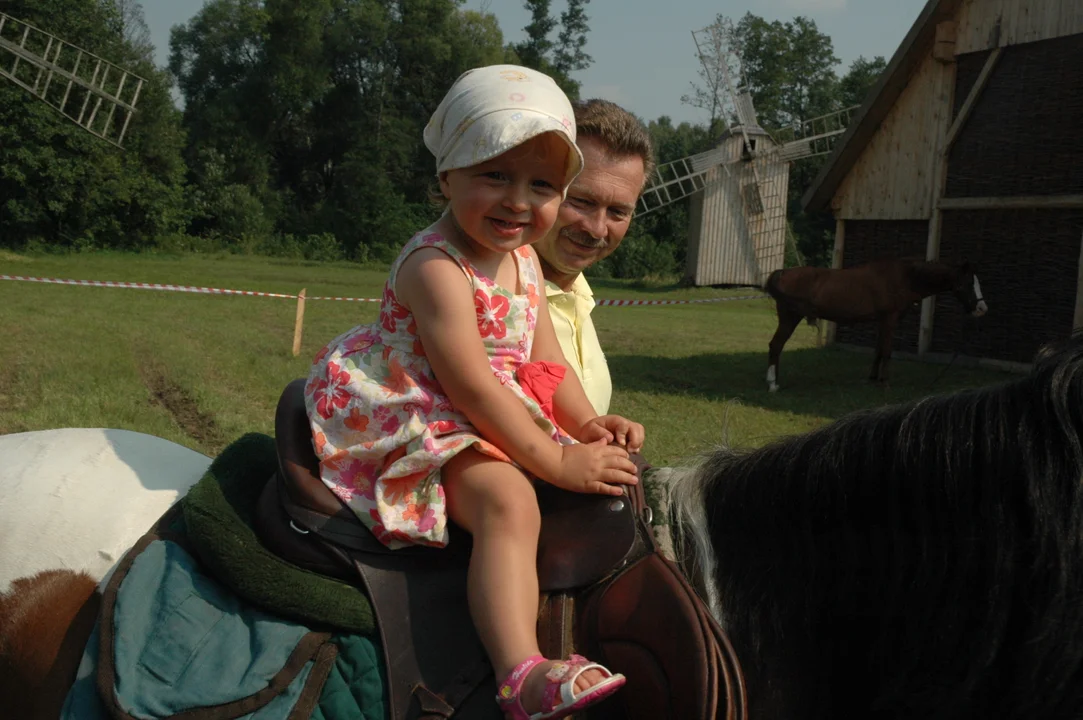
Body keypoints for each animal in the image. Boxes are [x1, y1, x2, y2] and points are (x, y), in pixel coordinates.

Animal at [762, 258, 992, 389]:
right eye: (967, 283)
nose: (982, 309)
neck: (905, 278)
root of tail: (783, 272)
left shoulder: (882, 320)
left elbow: (879, 350)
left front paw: (873, 377)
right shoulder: (890, 318)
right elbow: (887, 351)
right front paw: (885, 381)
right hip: (790, 318)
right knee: (776, 345)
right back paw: (772, 383)